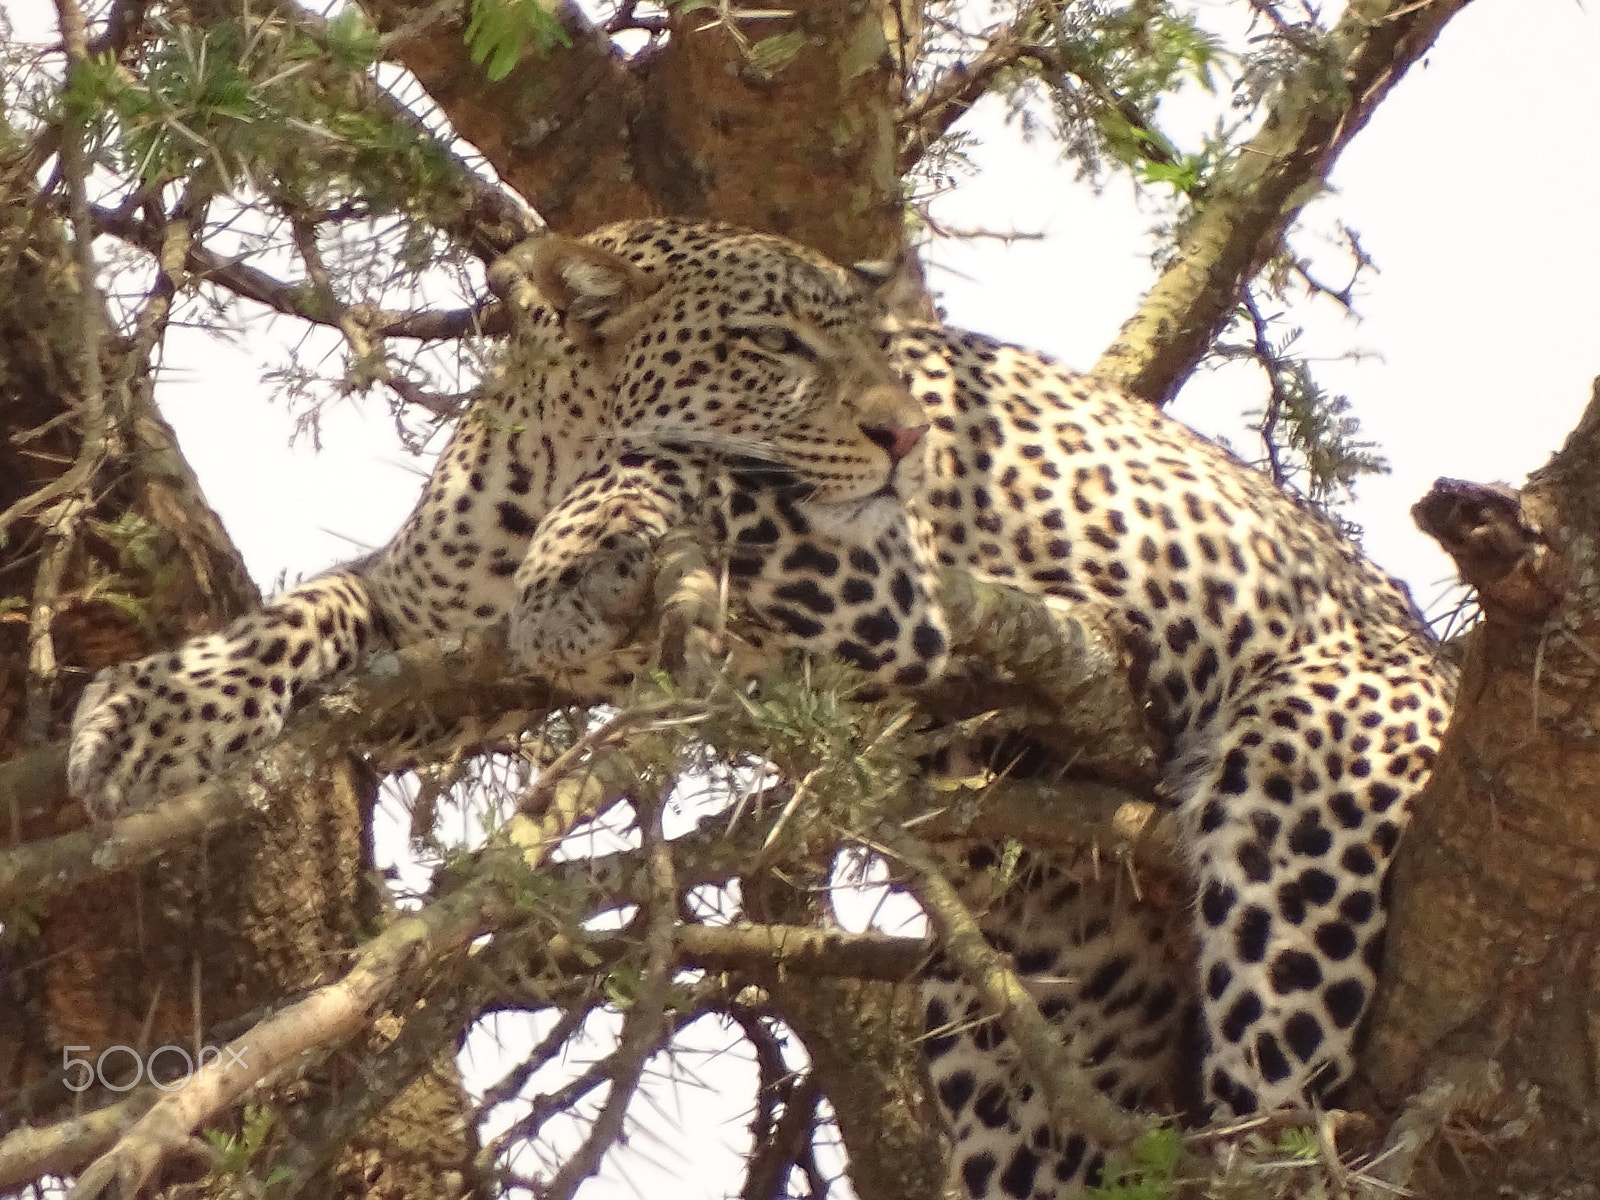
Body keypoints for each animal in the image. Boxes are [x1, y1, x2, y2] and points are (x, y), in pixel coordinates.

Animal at [68, 220, 1459, 1196]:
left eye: (878, 354)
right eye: (774, 344)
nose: (903, 436)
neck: (554, 445)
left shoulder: (888, 583)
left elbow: (692, 468)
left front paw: (591, 539)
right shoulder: (428, 629)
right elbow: (320, 604)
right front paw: (155, 706)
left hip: (1302, 783)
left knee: (1286, 1115)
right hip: (1028, 1028)